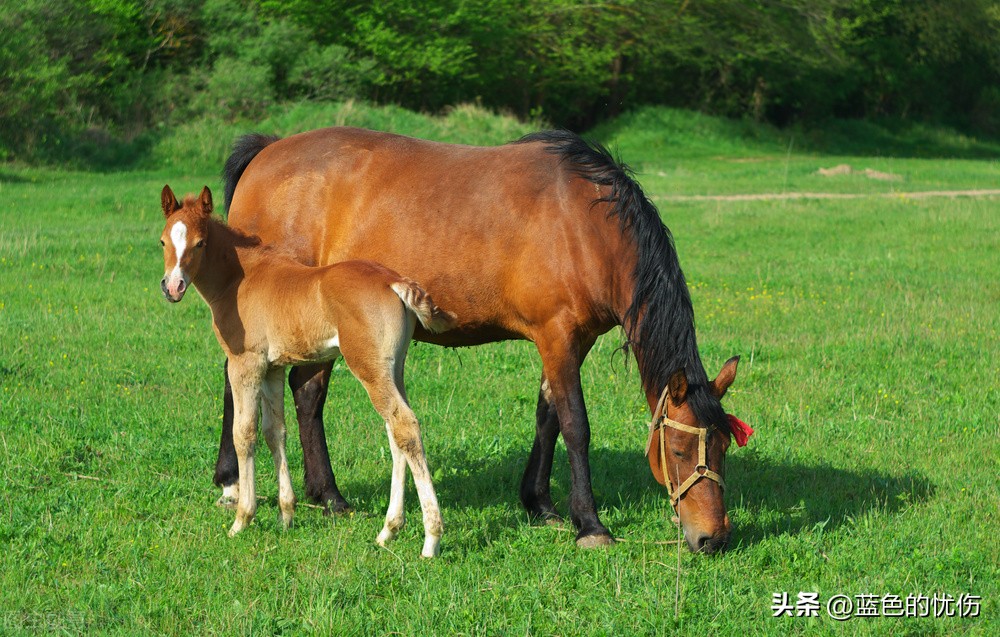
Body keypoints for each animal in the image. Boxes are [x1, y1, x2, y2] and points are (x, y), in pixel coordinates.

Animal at [221, 128, 744, 552]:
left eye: (723, 448)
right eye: (680, 451)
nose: (712, 538)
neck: (584, 224)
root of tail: (268, 151)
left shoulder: (569, 343)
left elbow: (548, 417)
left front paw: (540, 504)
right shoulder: (557, 336)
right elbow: (575, 425)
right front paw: (590, 525)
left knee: (306, 395)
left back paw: (327, 496)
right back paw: (235, 485)